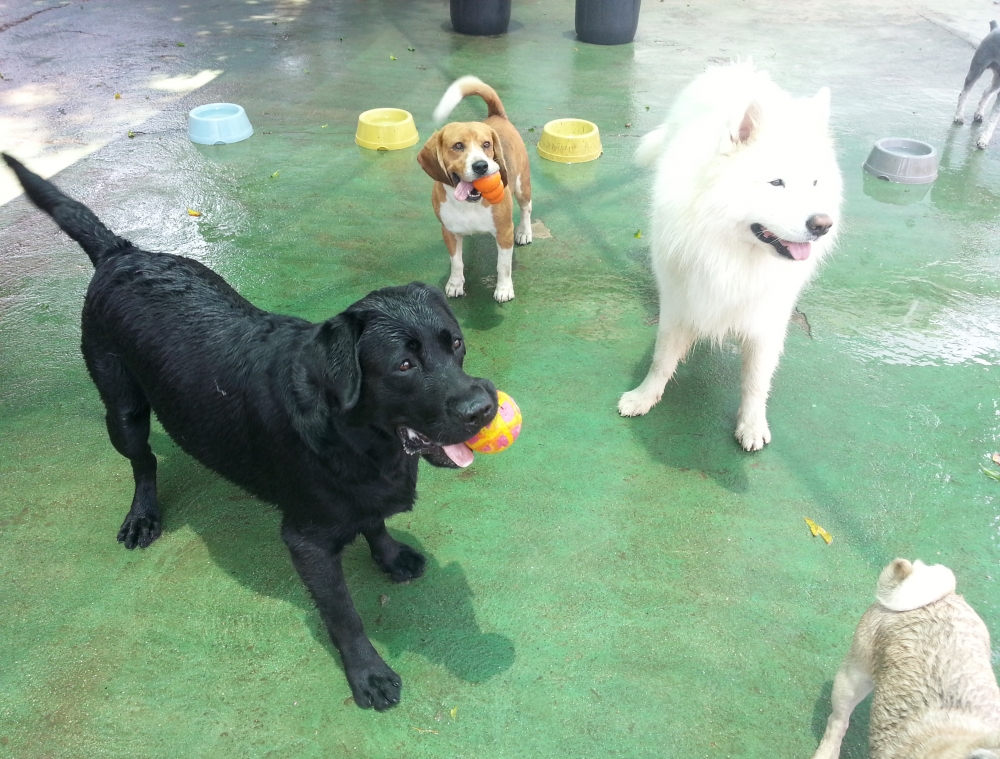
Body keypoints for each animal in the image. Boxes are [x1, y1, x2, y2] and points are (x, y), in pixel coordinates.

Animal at [2, 154, 496, 712]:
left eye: (455, 344)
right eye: (405, 365)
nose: (483, 408)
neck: (353, 435)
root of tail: (120, 253)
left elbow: (374, 522)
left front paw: (389, 555)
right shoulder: (306, 542)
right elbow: (344, 615)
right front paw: (367, 674)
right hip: (121, 408)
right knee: (143, 461)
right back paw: (143, 515)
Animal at [418, 76, 536, 302]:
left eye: (486, 144)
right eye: (458, 146)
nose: (481, 166)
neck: (469, 204)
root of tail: (496, 116)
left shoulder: (504, 232)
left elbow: (503, 266)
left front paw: (504, 289)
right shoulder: (449, 232)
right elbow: (456, 262)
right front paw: (455, 284)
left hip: (521, 186)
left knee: (527, 208)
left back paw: (525, 232)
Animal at [616, 62, 844, 452]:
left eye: (815, 183)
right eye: (776, 183)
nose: (822, 225)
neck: (731, 251)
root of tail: (739, 66)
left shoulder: (767, 319)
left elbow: (756, 380)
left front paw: (751, 424)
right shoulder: (679, 301)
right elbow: (662, 359)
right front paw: (644, 396)